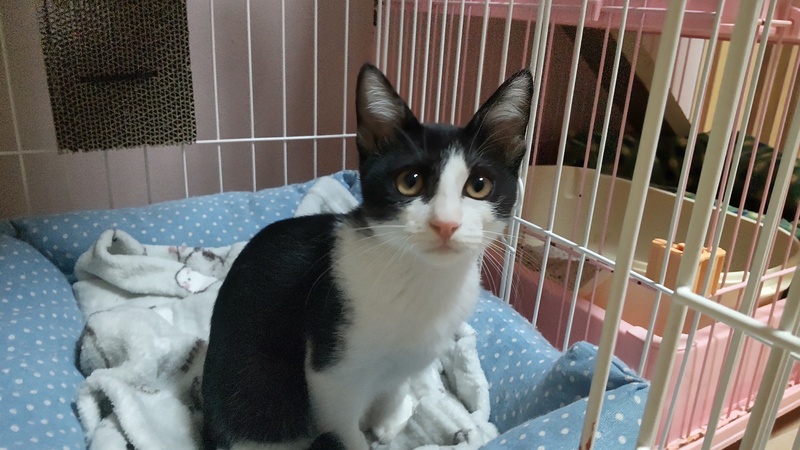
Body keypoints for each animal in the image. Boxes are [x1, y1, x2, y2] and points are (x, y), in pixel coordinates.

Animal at [201, 63, 533, 450]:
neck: (422, 280)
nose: (446, 223)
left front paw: (388, 420)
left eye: (479, 186)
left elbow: (393, 385)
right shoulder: (330, 375)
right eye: (409, 182)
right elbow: (345, 429)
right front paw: (372, 433)